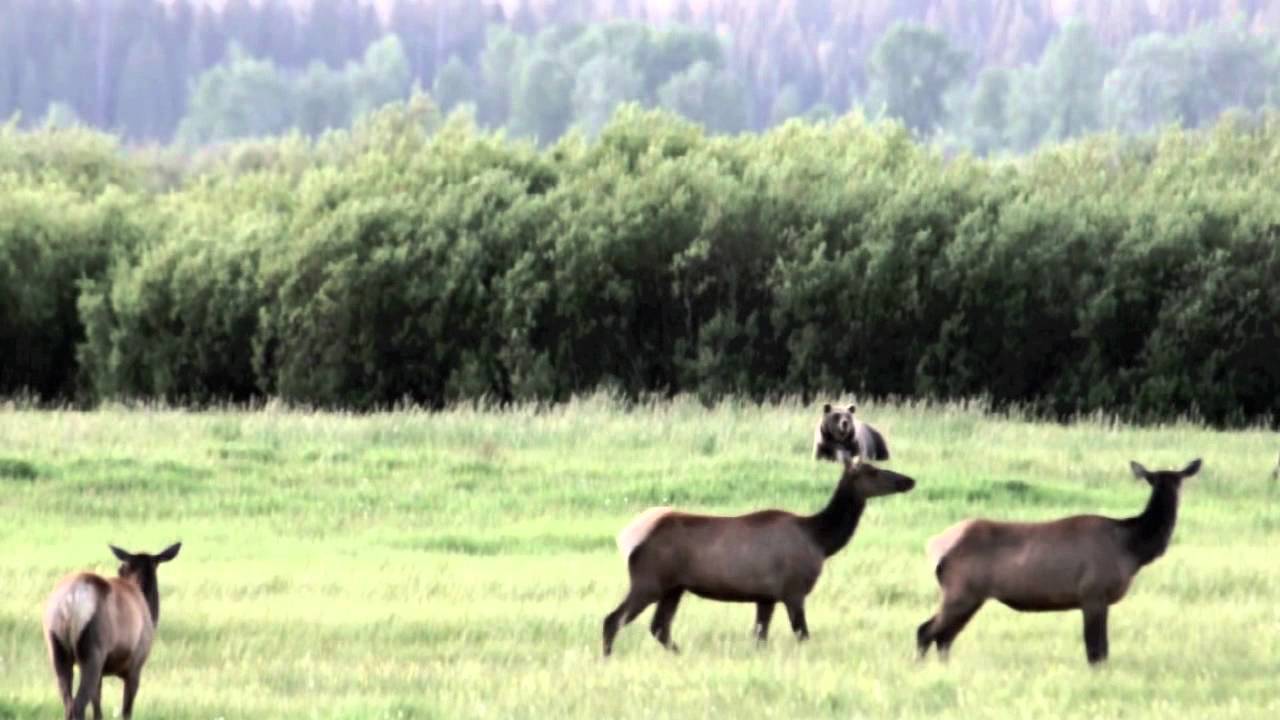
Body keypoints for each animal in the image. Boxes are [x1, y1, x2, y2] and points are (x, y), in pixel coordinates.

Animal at [42, 542, 182, 719]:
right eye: (121, 570)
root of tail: (71, 599)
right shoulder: (135, 666)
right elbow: (126, 712)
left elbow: (98, 708)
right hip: (93, 652)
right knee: (78, 705)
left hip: (56, 647)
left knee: (68, 703)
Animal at [602, 459, 915, 656]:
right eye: (872, 471)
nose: (908, 480)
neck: (821, 540)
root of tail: (629, 540)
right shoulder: (793, 591)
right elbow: (802, 634)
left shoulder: (766, 597)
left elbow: (759, 638)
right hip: (648, 581)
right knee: (613, 619)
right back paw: (607, 657)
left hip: (674, 588)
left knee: (659, 628)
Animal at [916, 459, 1201, 665]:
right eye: (1155, 481)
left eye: (1178, 481)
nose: (1174, 502)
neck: (1131, 550)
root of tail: (935, 547)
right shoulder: (1093, 593)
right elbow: (1097, 650)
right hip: (961, 590)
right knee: (926, 631)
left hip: (971, 595)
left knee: (945, 637)